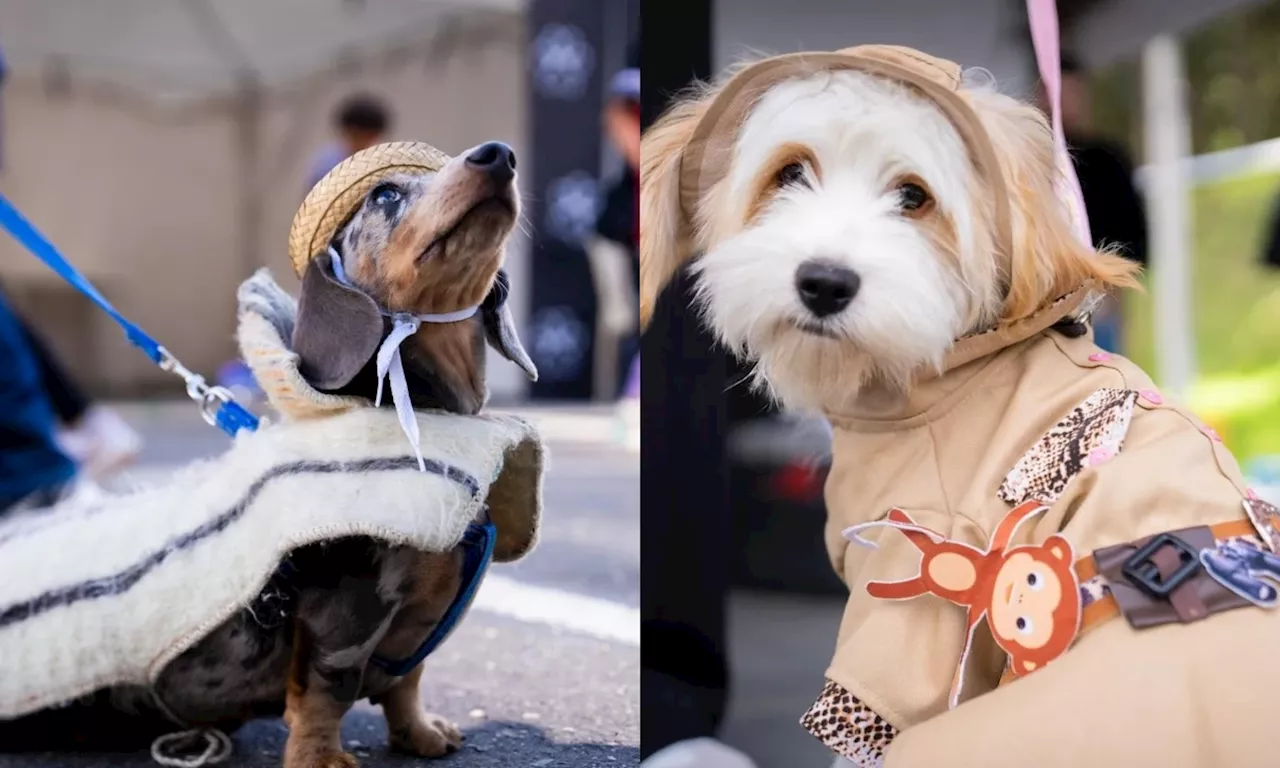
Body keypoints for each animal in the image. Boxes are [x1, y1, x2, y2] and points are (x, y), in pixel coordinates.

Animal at [0, 140, 535, 762]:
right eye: (385, 194)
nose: (498, 155)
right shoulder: (344, 615)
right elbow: (328, 691)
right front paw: (321, 757)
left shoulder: (412, 635)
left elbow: (407, 683)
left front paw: (420, 733)